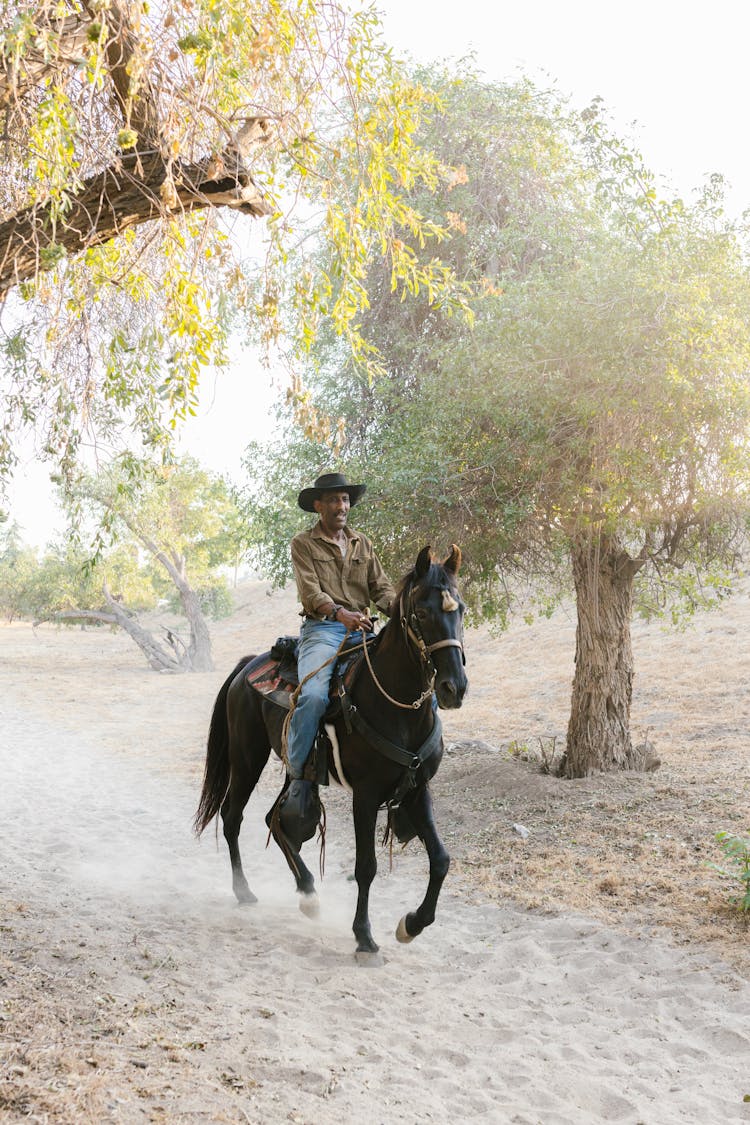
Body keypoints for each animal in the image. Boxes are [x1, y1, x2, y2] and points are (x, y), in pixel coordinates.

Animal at [193, 549, 465, 954]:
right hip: (247, 758)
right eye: (421, 612)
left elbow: (441, 859)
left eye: (460, 609)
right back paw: (245, 891)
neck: (396, 706)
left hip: (295, 767)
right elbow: (366, 866)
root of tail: (246, 667)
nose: (454, 688)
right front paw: (364, 936)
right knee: (232, 817)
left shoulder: (418, 789)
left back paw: (307, 892)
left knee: (274, 818)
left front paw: (412, 924)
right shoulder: (365, 796)